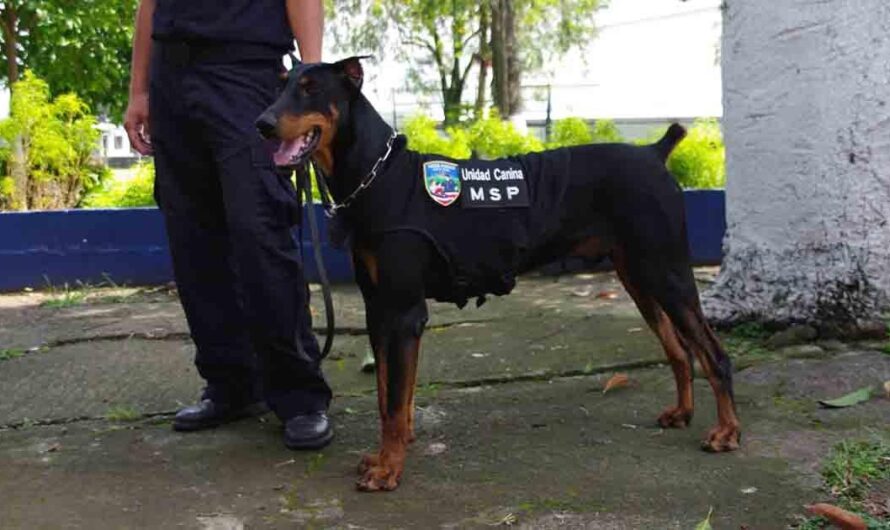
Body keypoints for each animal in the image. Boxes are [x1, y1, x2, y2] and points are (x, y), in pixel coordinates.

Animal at [253, 55, 740, 488]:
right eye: (281, 85)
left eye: (310, 89)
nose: (262, 124)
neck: (381, 174)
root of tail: (654, 154)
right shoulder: (379, 310)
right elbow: (390, 395)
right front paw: (388, 453)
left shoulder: (404, 311)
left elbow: (392, 402)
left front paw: (389, 469)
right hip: (638, 275)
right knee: (679, 350)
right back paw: (682, 414)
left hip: (666, 271)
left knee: (713, 353)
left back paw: (727, 433)